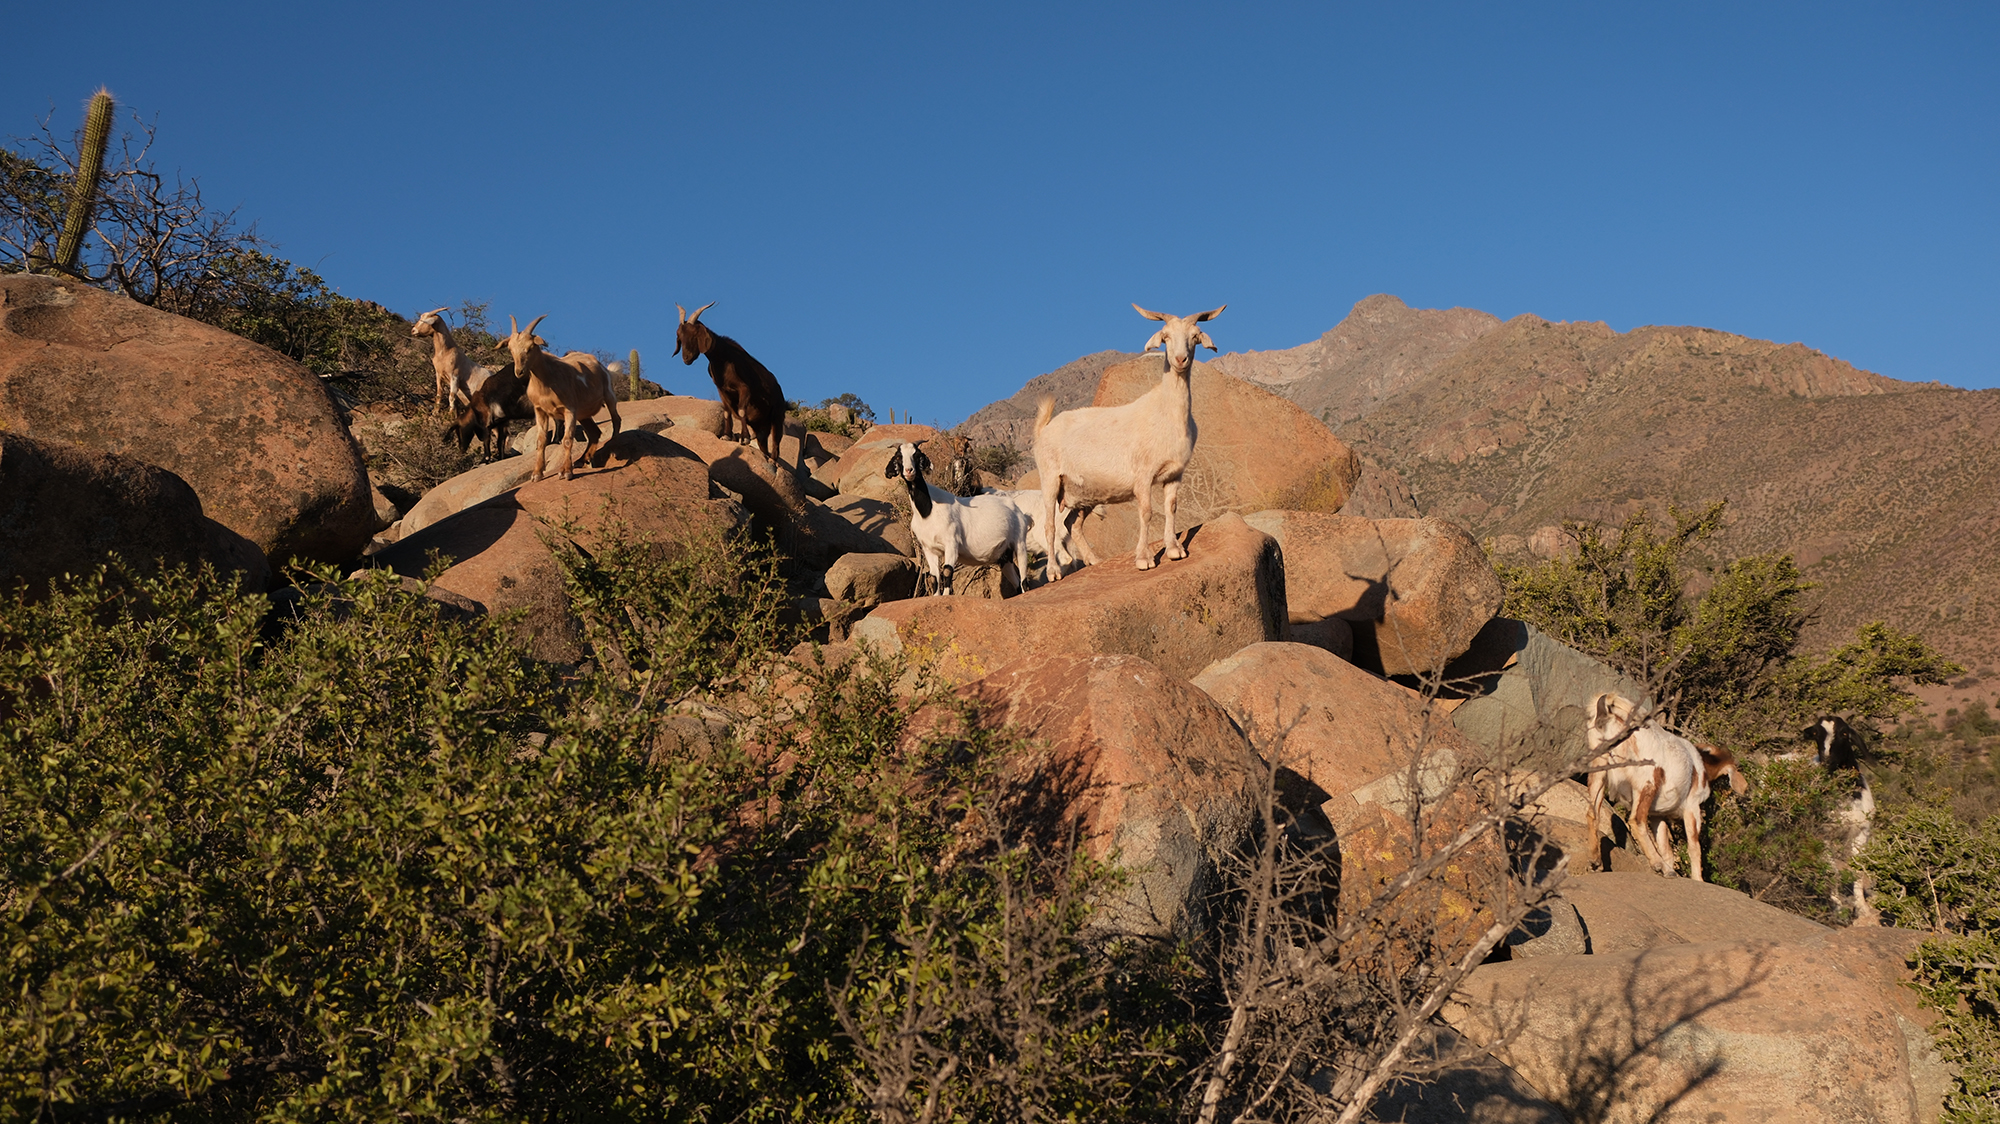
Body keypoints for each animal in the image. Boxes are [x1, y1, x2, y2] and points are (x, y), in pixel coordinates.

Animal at [496, 310, 620, 482]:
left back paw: (614, 447)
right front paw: (536, 474)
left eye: (531, 347)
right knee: (595, 433)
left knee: (616, 419)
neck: (547, 380)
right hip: (584, 413)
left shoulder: (569, 409)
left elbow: (567, 439)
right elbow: (541, 441)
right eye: (510, 349)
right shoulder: (540, 411)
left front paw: (566, 472)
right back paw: (582, 460)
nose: (519, 371)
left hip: (608, 394)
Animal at [680, 300, 788, 462]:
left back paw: (773, 460)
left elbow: (742, 410)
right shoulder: (722, 390)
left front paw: (744, 438)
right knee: (764, 445)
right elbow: (727, 412)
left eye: (693, 335)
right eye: (680, 337)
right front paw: (726, 436)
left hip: (777, 416)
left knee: (776, 443)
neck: (722, 358)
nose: (686, 358)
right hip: (762, 426)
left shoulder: (744, 388)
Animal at [1032, 302, 1216, 572]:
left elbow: (1171, 508)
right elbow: (1146, 512)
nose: (1180, 359)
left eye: (1195, 336)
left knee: (1072, 524)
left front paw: (1174, 550)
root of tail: (1043, 430)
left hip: (1084, 492)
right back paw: (1054, 571)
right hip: (1050, 479)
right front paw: (1144, 559)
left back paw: (1094, 560)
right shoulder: (1143, 475)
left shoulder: (1175, 474)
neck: (1165, 412)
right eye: (1165, 337)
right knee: (1050, 525)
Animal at [1584, 688, 1744, 880]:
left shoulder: (1658, 815)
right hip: (1646, 782)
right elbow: (1694, 846)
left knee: (1593, 813)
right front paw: (1697, 878)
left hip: (1599, 771)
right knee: (1636, 820)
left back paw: (1595, 862)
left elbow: (1665, 845)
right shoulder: (1692, 808)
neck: (1700, 766)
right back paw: (1659, 865)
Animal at [1808, 716, 1880, 920]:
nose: (1827, 761)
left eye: (1845, 733)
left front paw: (1861, 908)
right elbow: (1831, 871)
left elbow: (1857, 870)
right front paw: (1838, 908)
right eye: (1816, 733)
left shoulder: (1861, 833)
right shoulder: (1824, 835)